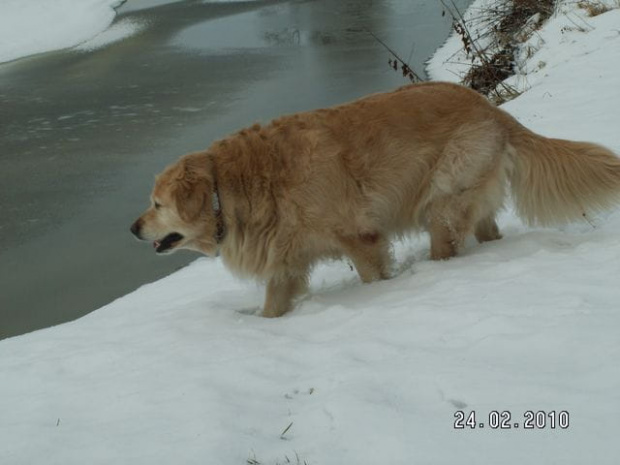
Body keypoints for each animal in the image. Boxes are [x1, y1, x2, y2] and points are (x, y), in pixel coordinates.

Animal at [130, 81, 620, 318]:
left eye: (156, 204)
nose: (132, 228)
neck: (231, 186)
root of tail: (493, 109)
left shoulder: (359, 236)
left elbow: (371, 275)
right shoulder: (287, 259)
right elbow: (273, 305)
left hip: (442, 201)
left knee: (447, 239)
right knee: (487, 229)